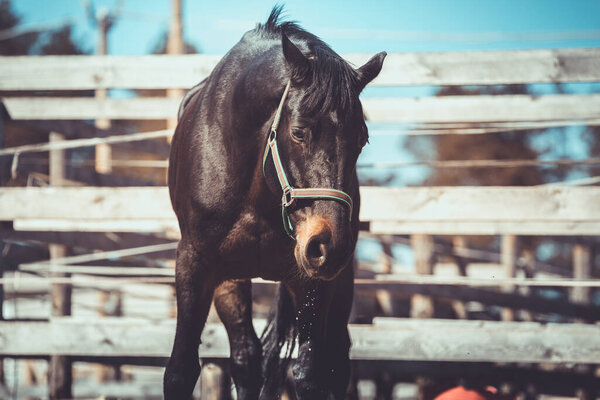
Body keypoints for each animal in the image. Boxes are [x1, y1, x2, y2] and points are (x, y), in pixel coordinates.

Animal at [164, 7, 384, 400]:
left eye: (362, 138)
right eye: (298, 132)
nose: (329, 244)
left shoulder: (313, 280)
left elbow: (310, 374)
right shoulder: (194, 263)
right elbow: (180, 371)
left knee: (336, 361)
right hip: (231, 278)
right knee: (246, 357)